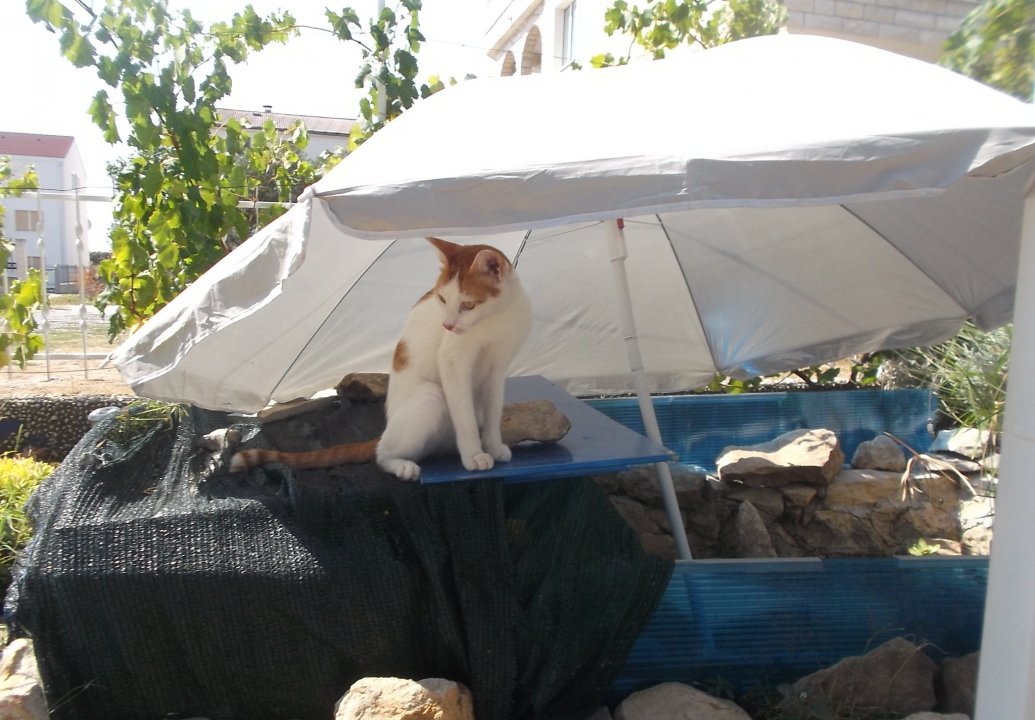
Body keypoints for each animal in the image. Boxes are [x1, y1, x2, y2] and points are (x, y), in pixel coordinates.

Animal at [230, 236, 532, 481]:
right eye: (442, 299)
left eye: (468, 304)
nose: (447, 325)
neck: (494, 322)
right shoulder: (453, 363)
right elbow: (465, 417)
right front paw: (473, 455)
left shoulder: (498, 369)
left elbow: (493, 413)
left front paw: (492, 446)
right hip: (430, 399)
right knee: (382, 454)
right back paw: (404, 466)